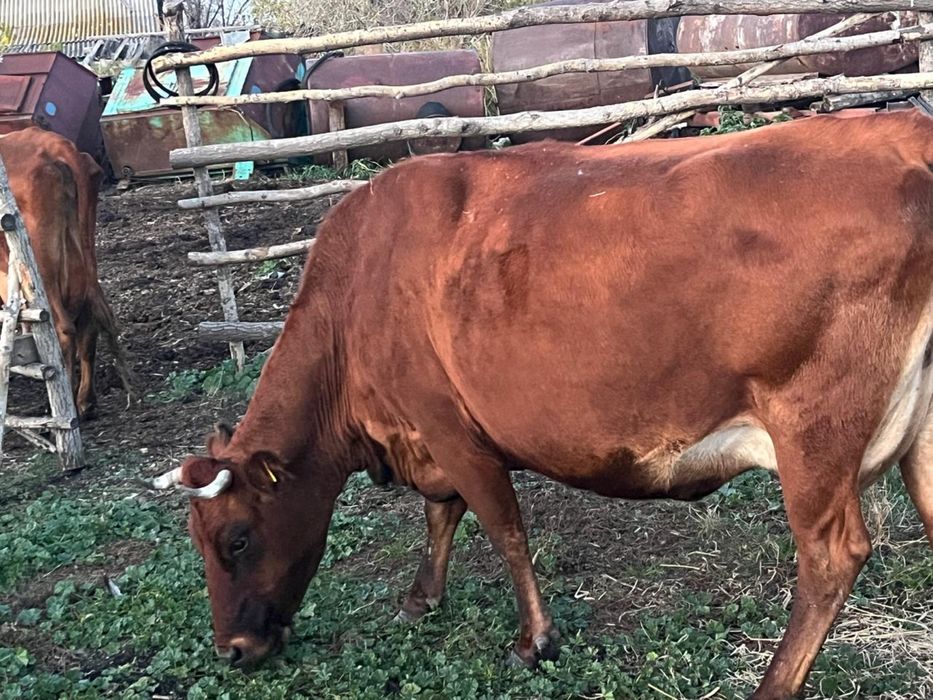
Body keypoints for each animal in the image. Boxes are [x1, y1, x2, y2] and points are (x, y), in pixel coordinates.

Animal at [0, 127, 133, 418]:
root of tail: (58, 146)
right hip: (82, 264)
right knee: (90, 322)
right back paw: (86, 401)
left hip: (42, 268)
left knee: (63, 330)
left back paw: (65, 406)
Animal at [150, 110, 933, 699]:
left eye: (236, 538)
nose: (231, 650)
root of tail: (905, 131)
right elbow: (441, 515)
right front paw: (420, 599)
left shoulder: (450, 426)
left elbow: (501, 526)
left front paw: (534, 640)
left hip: (813, 429)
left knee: (830, 556)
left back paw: (771, 685)